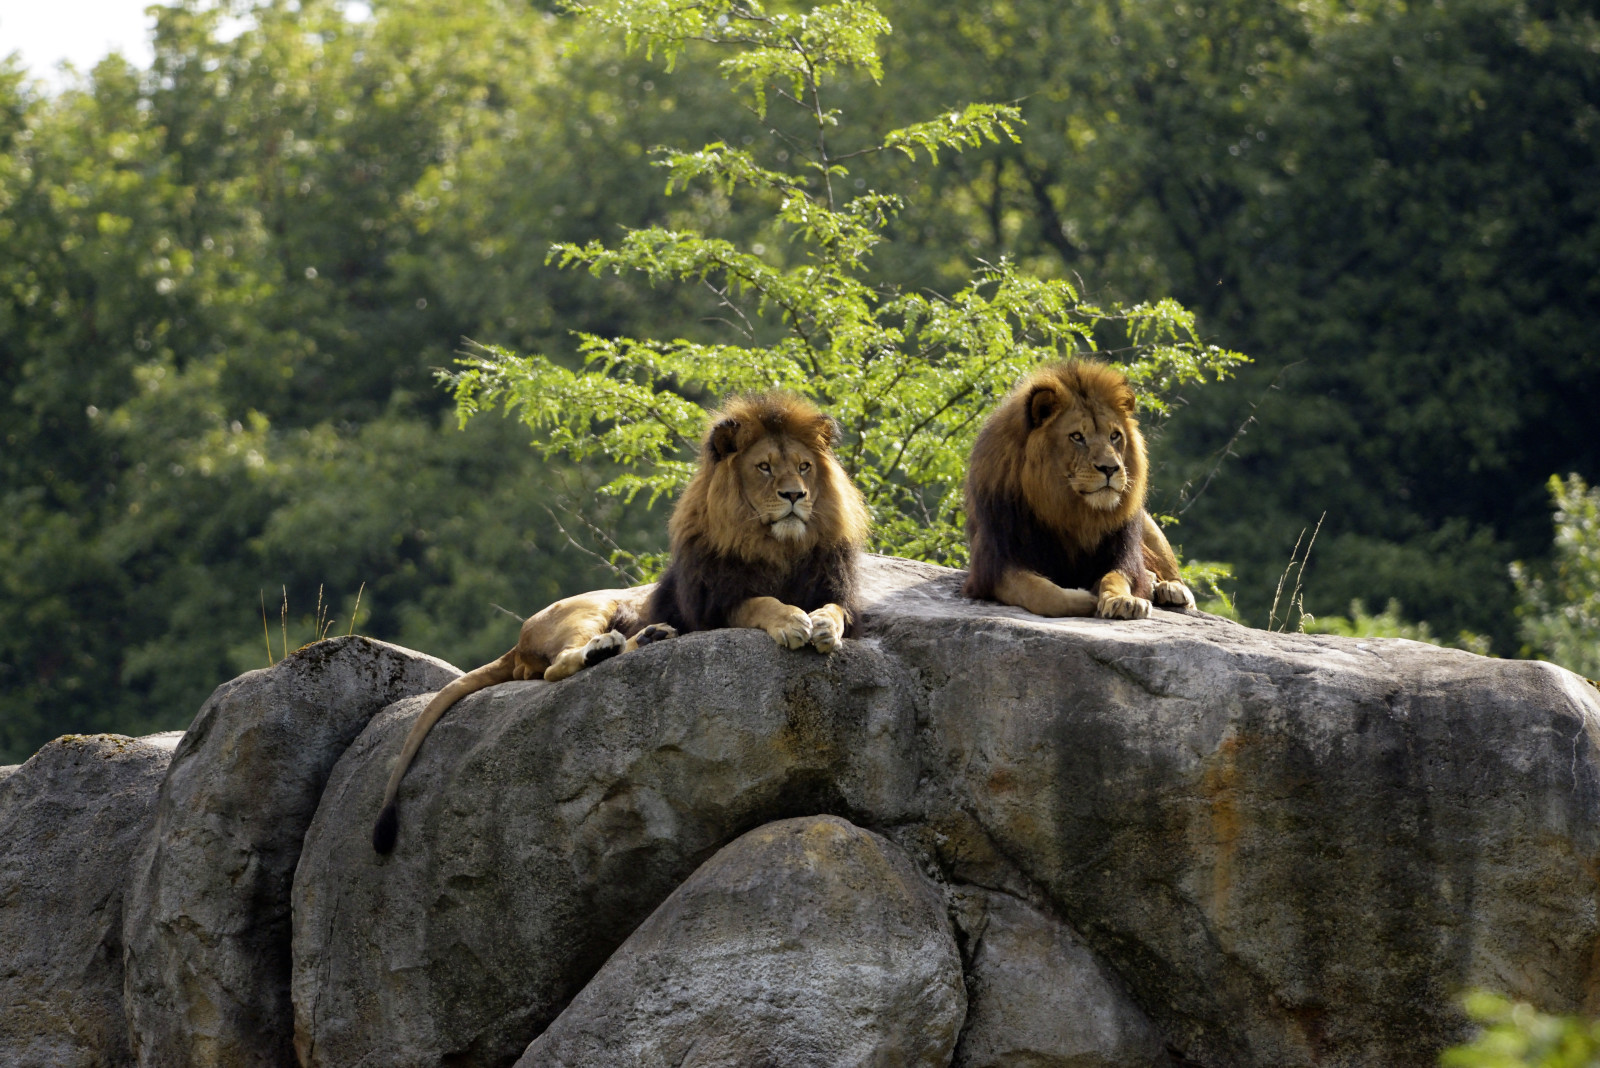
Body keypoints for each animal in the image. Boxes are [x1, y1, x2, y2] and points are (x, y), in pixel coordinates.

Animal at [368, 390, 870, 850]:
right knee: (557, 667)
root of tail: (518, 641)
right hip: (590, 608)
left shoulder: (834, 589)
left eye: (803, 467)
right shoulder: (716, 605)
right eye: (764, 467)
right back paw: (612, 645)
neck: (778, 547)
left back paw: (649, 636)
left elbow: (833, 611)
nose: (795, 496)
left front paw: (823, 626)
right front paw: (791, 622)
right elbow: (762, 602)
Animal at [953, 362, 1196, 620]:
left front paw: (1123, 600)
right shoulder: (994, 568)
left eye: (1115, 436)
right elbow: (1041, 593)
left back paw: (1171, 589)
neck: (1070, 511)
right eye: (1077, 437)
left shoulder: (1122, 556)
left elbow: (1115, 578)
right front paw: (1086, 598)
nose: (1110, 468)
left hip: (1148, 525)